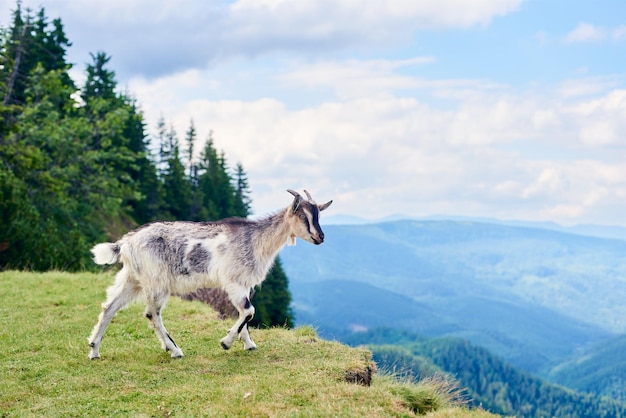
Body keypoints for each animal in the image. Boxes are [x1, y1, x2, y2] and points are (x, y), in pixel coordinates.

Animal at [89, 189, 332, 360]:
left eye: (318, 215)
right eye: (303, 216)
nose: (320, 237)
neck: (255, 241)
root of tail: (125, 242)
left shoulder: (244, 284)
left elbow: (245, 313)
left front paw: (248, 344)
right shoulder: (233, 281)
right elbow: (249, 311)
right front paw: (226, 342)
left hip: (132, 278)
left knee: (109, 306)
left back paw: (94, 350)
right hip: (157, 280)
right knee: (151, 313)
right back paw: (174, 350)